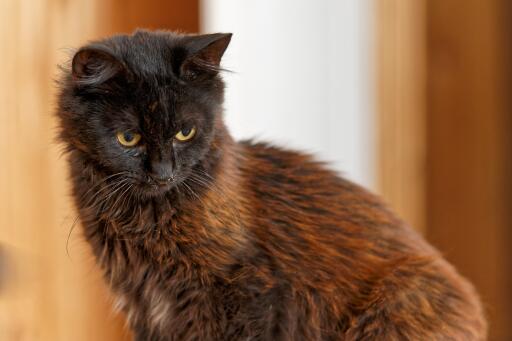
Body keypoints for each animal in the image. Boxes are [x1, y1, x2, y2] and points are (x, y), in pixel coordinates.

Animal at [54, 30, 486, 338]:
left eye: (184, 132)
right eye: (128, 138)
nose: (162, 172)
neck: (144, 222)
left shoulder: (248, 289)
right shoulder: (146, 305)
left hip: (400, 298)